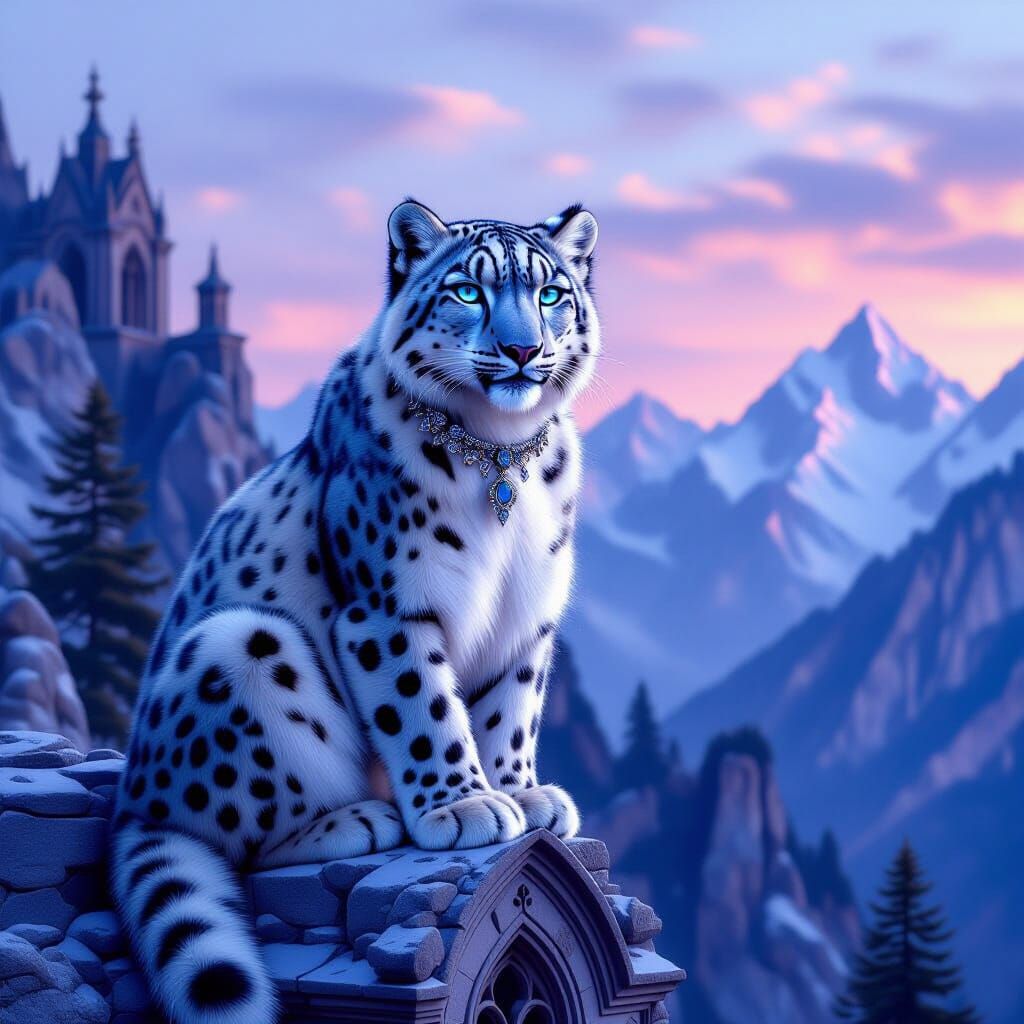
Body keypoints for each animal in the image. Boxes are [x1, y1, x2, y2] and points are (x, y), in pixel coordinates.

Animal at [110, 199, 600, 1024]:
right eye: (468, 291)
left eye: (552, 293)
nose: (522, 348)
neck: (502, 459)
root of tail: (131, 796)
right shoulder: (389, 607)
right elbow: (424, 708)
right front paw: (464, 807)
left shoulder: (527, 620)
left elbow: (511, 710)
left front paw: (521, 790)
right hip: (240, 644)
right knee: (234, 836)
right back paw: (357, 819)